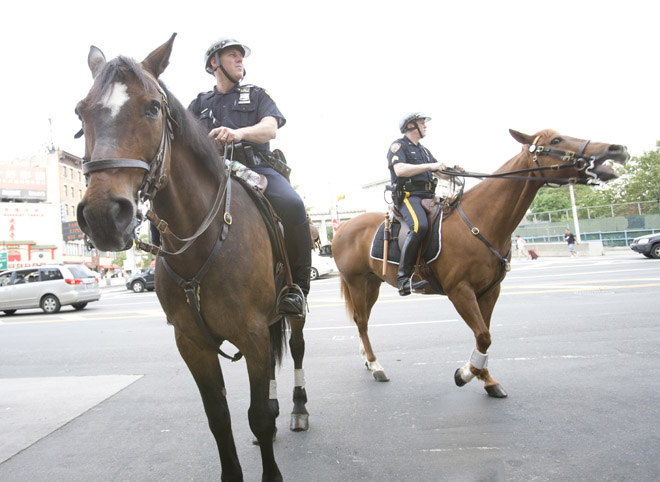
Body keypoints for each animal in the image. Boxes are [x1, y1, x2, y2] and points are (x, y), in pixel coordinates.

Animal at [75, 34, 310, 482]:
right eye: (80, 111)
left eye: (152, 107)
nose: (103, 216)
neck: (203, 241)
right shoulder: (192, 343)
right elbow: (219, 418)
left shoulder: (252, 333)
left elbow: (256, 416)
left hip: (294, 307)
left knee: (297, 348)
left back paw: (297, 407)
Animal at [330, 128, 628, 396]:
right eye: (555, 140)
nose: (617, 149)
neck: (482, 221)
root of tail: (342, 227)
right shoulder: (460, 291)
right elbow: (484, 336)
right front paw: (465, 374)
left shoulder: (489, 291)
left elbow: (483, 335)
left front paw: (486, 379)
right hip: (356, 282)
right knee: (361, 321)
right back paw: (376, 365)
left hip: (373, 283)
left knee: (363, 319)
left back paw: (367, 359)